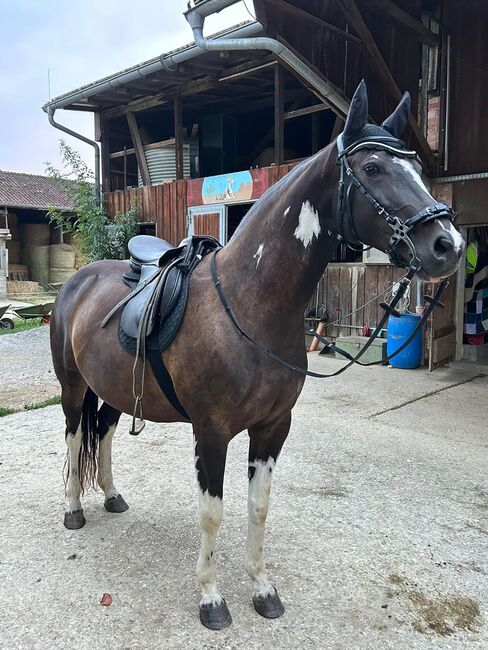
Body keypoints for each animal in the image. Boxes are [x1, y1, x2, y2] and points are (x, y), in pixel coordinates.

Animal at [50, 81, 464, 630]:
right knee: (76, 437)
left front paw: (263, 589)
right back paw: (74, 508)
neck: (250, 303)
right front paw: (211, 599)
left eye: (417, 166)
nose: (449, 245)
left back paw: (113, 496)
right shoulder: (212, 432)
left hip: (114, 389)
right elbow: (212, 513)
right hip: (73, 387)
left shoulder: (272, 428)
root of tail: (78, 280)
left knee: (105, 432)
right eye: (374, 168)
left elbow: (259, 508)